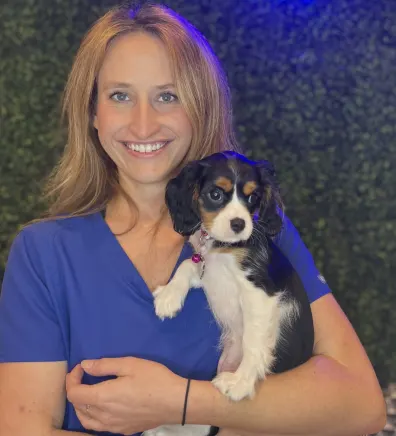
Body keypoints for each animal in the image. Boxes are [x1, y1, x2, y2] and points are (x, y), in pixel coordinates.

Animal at [144, 151, 314, 436]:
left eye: (253, 197)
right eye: (215, 194)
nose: (239, 224)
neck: (224, 247)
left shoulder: (259, 293)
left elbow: (253, 342)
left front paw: (240, 383)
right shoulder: (207, 268)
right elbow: (188, 263)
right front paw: (169, 297)